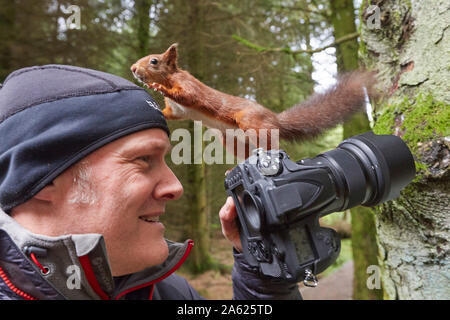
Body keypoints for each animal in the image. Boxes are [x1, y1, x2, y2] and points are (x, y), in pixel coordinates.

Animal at [131, 42, 380, 158]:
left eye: (154, 61)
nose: (133, 68)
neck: (171, 76)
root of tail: (275, 120)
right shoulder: (178, 111)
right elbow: (171, 114)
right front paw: (157, 111)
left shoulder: (188, 86)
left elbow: (187, 95)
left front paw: (158, 87)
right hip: (233, 141)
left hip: (251, 123)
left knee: (272, 144)